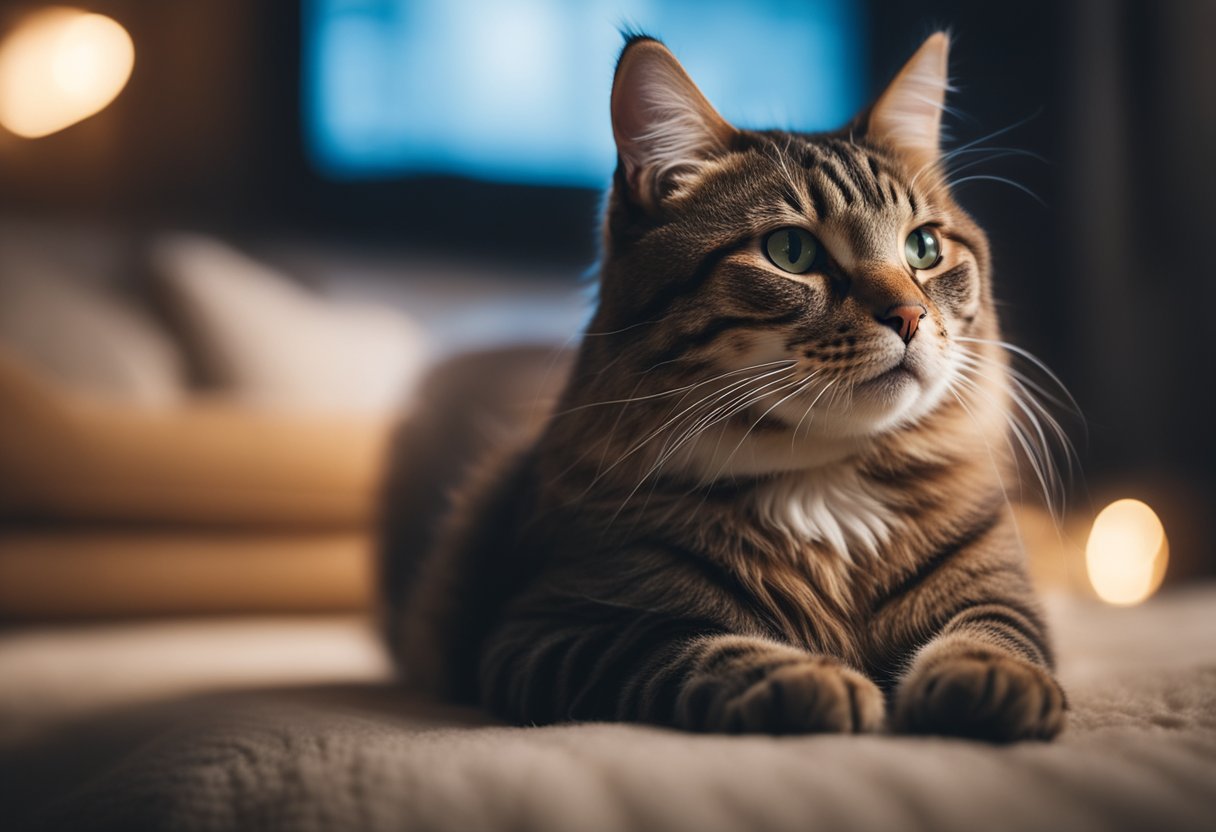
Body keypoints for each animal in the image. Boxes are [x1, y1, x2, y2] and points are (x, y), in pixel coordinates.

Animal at [379, 32, 1065, 744]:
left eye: (924, 248)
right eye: (791, 252)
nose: (909, 316)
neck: (826, 484)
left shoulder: (998, 590)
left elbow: (993, 635)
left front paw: (989, 681)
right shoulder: (548, 628)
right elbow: (687, 646)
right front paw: (802, 677)